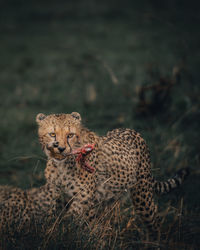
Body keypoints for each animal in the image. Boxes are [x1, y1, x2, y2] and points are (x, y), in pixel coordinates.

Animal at [36, 112, 189, 236]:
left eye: (70, 135)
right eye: (52, 134)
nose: (61, 148)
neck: (62, 165)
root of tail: (131, 130)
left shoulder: (84, 197)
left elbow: (74, 216)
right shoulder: (56, 193)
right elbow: (51, 213)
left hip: (142, 196)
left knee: (153, 222)